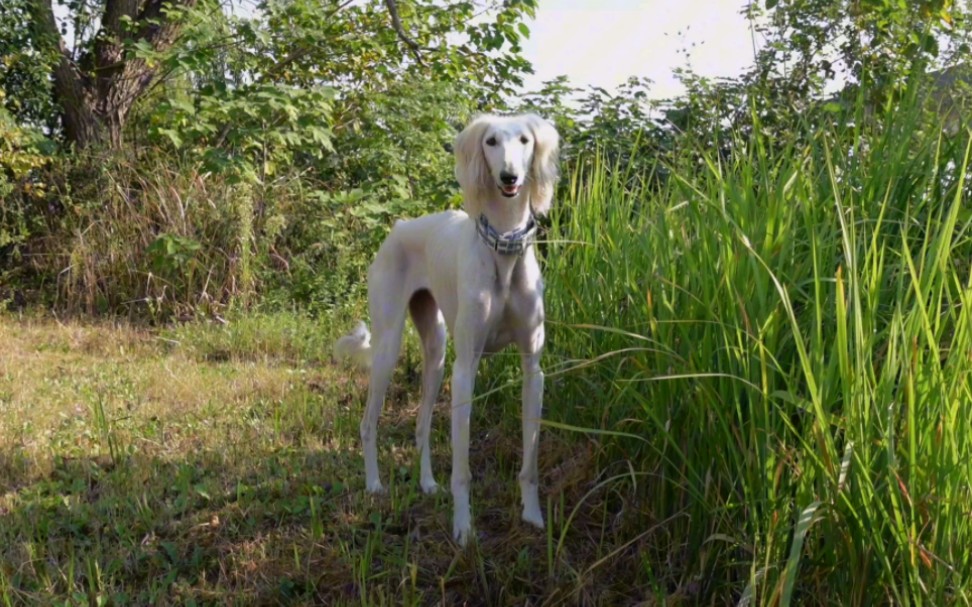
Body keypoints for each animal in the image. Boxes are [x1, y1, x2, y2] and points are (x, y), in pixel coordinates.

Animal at [336, 114, 560, 548]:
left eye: (525, 140)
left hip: (436, 351)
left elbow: (530, 459)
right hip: (388, 346)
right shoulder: (465, 369)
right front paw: (464, 528)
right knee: (369, 423)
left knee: (421, 424)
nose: (509, 177)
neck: (504, 247)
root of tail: (401, 226)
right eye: (491, 142)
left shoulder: (534, 368)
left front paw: (533, 515)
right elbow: (462, 469)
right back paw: (374, 485)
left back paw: (426, 483)